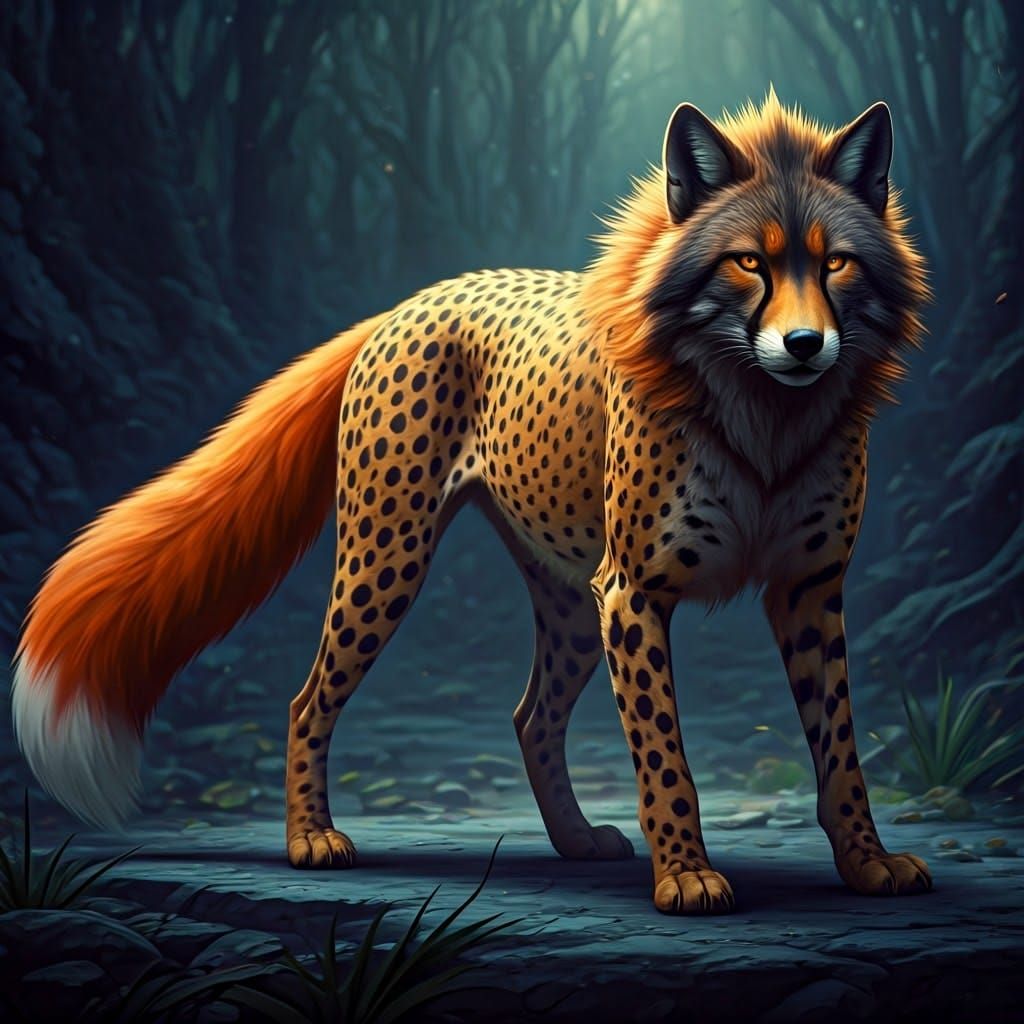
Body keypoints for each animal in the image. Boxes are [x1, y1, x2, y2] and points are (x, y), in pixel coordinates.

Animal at [13, 92, 930, 914]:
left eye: (836, 263)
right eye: (748, 262)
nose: (805, 344)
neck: (765, 417)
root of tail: (412, 300)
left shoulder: (806, 589)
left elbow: (841, 746)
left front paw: (867, 863)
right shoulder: (635, 593)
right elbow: (666, 756)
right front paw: (686, 878)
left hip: (568, 603)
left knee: (531, 717)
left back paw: (575, 843)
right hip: (387, 562)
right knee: (310, 700)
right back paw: (311, 840)